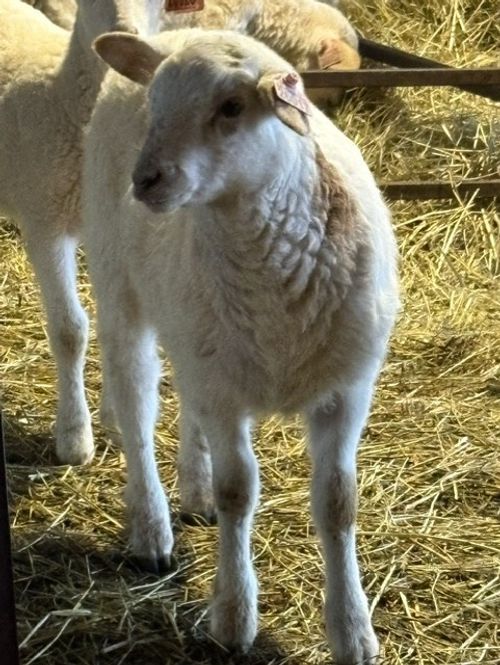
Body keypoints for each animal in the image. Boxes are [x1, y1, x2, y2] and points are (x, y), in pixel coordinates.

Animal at [0, 0, 160, 466]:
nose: (128, 33)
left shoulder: (107, 223)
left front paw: (115, 418)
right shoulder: (44, 222)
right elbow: (70, 330)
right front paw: (74, 436)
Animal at [83, 27, 399, 664]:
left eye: (231, 107)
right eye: (155, 104)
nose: (145, 180)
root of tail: (176, 32)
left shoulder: (347, 390)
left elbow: (339, 503)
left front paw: (353, 630)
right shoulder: (225, 396)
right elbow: (238, 493)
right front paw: (233, 616)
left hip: (198, 334)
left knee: (185, 401)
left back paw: (194, 489)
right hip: (120, 287)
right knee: (135, 406)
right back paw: (152, 527)